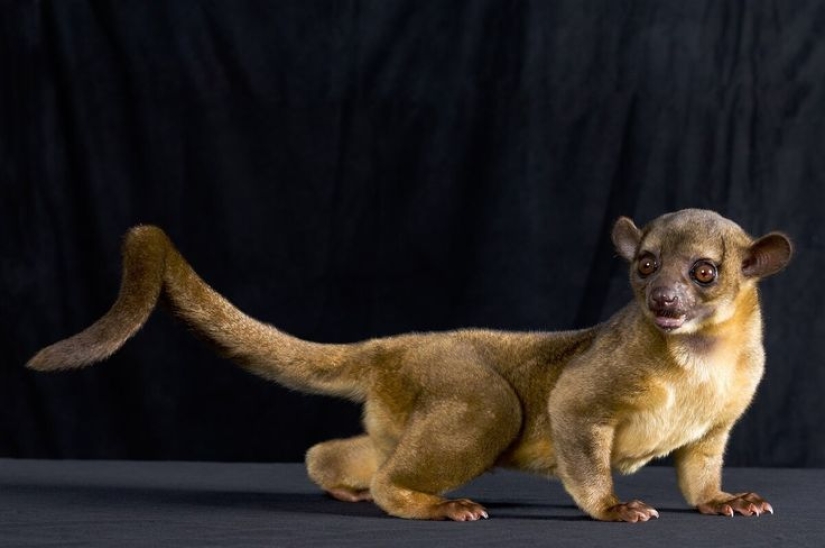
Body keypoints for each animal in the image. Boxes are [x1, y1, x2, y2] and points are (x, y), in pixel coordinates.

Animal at [27, 209, 792, 522]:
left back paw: (342, 486)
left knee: (346, 451)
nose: (661, 301)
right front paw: (612, 508)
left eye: (701, 272)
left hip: (401, 416)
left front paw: (725, 501)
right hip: (477, 399)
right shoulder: (586, 395)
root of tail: (396, 344)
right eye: (644, 266)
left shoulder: (719, 423)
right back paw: (434, 505)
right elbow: (578, 432)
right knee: (417, 460)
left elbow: (699, 469)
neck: (700, 357)